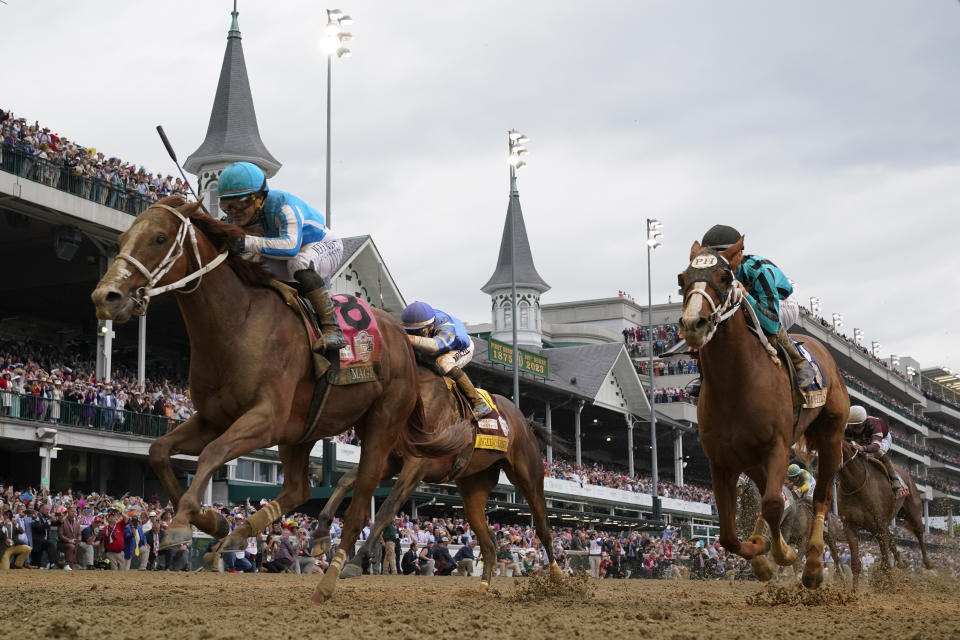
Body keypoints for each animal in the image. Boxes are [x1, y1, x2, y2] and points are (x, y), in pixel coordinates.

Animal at [676, 238, 848, 588]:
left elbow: (772, 504)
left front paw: (784, 555)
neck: (735, 384)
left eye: (724, 278)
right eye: (681, 279)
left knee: (822, 497)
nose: (692, 324)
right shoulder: (721, 461)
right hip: (753, 460)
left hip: (831, 435)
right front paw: (761, 558)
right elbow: (728, 535)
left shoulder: (778, 446)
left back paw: (813, 567)